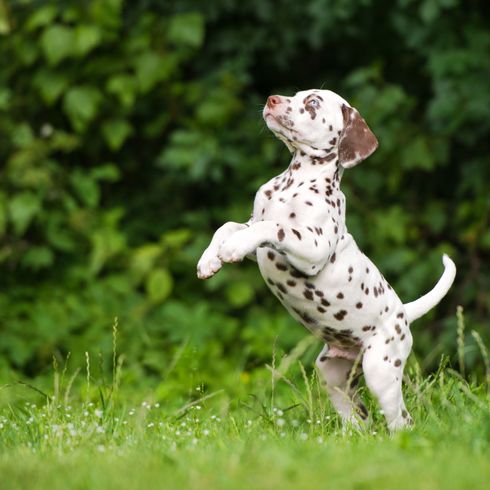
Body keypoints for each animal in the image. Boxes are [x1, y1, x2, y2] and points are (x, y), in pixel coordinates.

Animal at [195, 89, 456, 432]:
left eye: (314, 102)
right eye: (295, 94)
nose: (272, 98)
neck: (294, 182)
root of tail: (403, 313)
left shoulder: (313, 246)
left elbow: (273, 227)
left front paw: (230, 250)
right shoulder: (255, 234)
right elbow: (227, 227)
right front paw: (209, 260)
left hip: (380, 371)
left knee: (401, 420)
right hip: (334, 377)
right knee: (360, 418)